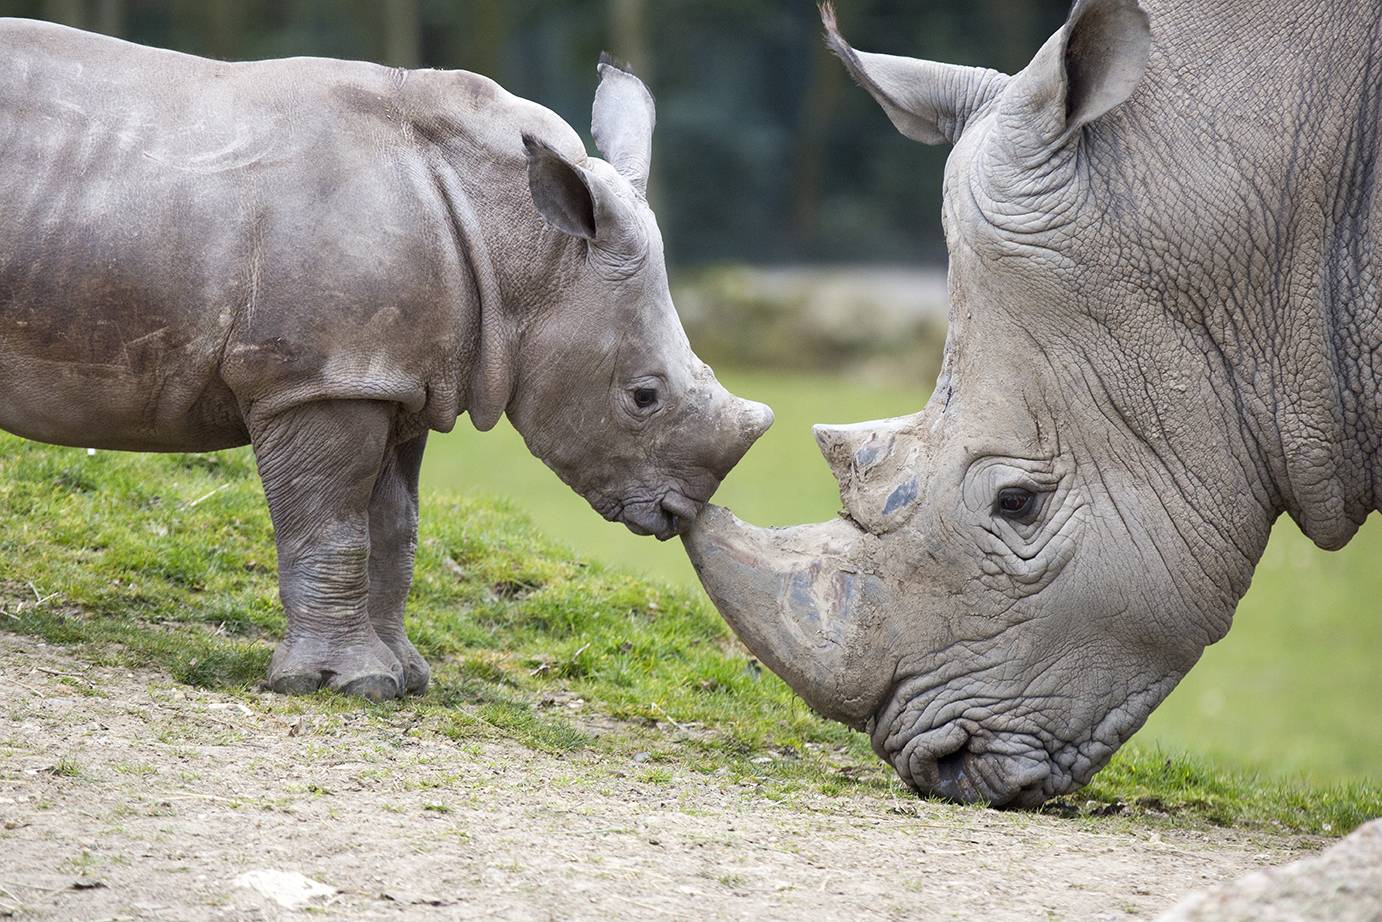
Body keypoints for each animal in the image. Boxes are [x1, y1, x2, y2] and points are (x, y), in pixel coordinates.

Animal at [0, 21, 773, 699]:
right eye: (643, 396)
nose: (678, 509)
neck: (521, 243)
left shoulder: (392, 378)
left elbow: (395, 532)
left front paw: (405, 678)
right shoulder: (322, 379)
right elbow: (334, 529)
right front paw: (344, 685)